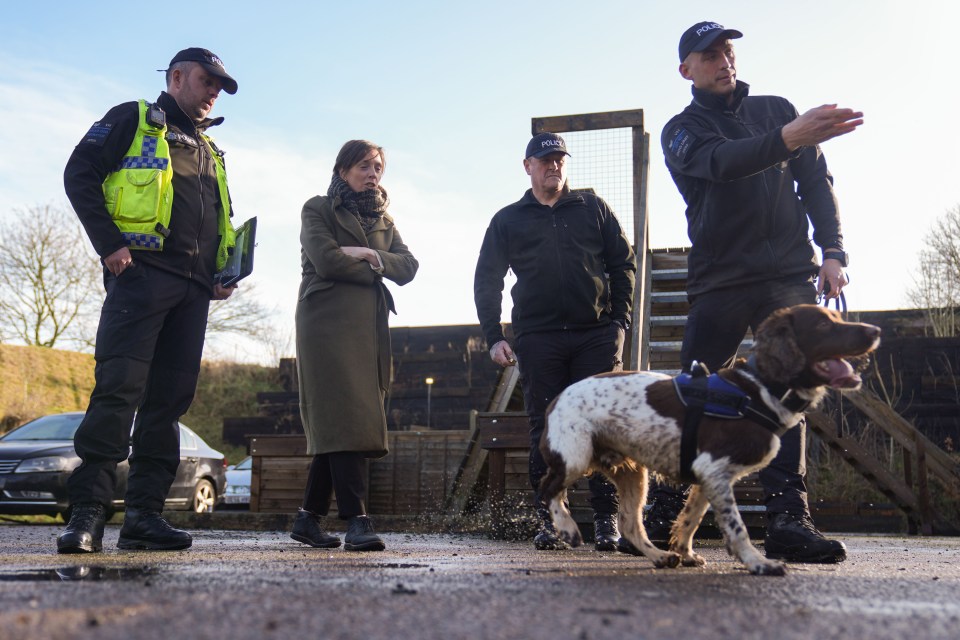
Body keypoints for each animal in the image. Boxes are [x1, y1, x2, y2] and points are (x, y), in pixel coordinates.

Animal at [536, 304, 880, 576]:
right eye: (823, 324)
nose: (875, 330)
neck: (758, 390)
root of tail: (557, 398)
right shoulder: (714, 469)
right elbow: (736, 527)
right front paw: (758, 563)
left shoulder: (705, 477)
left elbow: (691, 519)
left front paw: (685, 553)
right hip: (575, 456)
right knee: (548, 488)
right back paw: (567, 530)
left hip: (633, 473)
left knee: (629, 525)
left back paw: (660, 556)